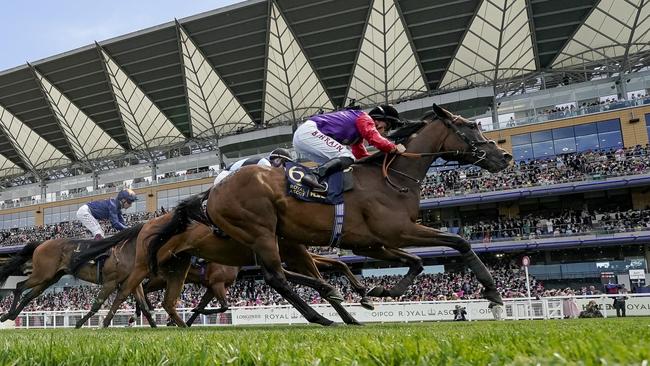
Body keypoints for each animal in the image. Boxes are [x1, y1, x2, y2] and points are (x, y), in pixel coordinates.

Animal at [151, 104, 512, 324]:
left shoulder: (371, 243)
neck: (391, 179)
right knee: (275, 277)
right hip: (261, 231)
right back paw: (321, 314)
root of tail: (212, 192)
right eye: (470, 125)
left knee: (281, 274)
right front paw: (494, 295)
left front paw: (380, 291)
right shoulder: (398, 231)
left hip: (271, 238)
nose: (505, 156)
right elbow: (459, 243)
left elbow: (417, 262)